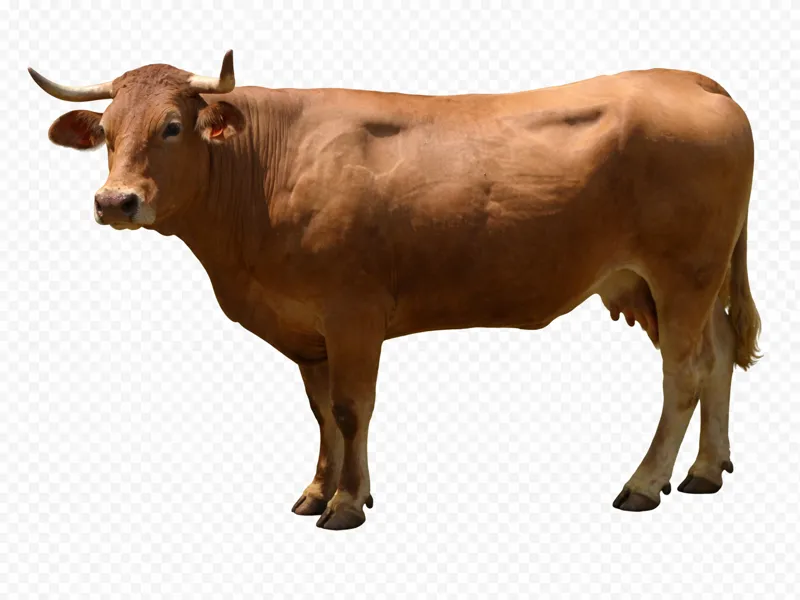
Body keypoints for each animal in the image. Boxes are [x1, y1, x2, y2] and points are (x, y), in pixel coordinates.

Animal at [29, 51, 761, 530]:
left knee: (684, 372)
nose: (115, 201)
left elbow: (352, 409)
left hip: (683, 271)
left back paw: (645, 483)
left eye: (172, 126)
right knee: (720, 351)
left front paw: (347, 505)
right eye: (106, 133)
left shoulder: (352, 312)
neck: (263, 172)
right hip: (661, 281)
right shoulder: (308, 329)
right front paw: (318, 491)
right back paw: (705, 471)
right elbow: (322, 413)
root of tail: (690, 80)